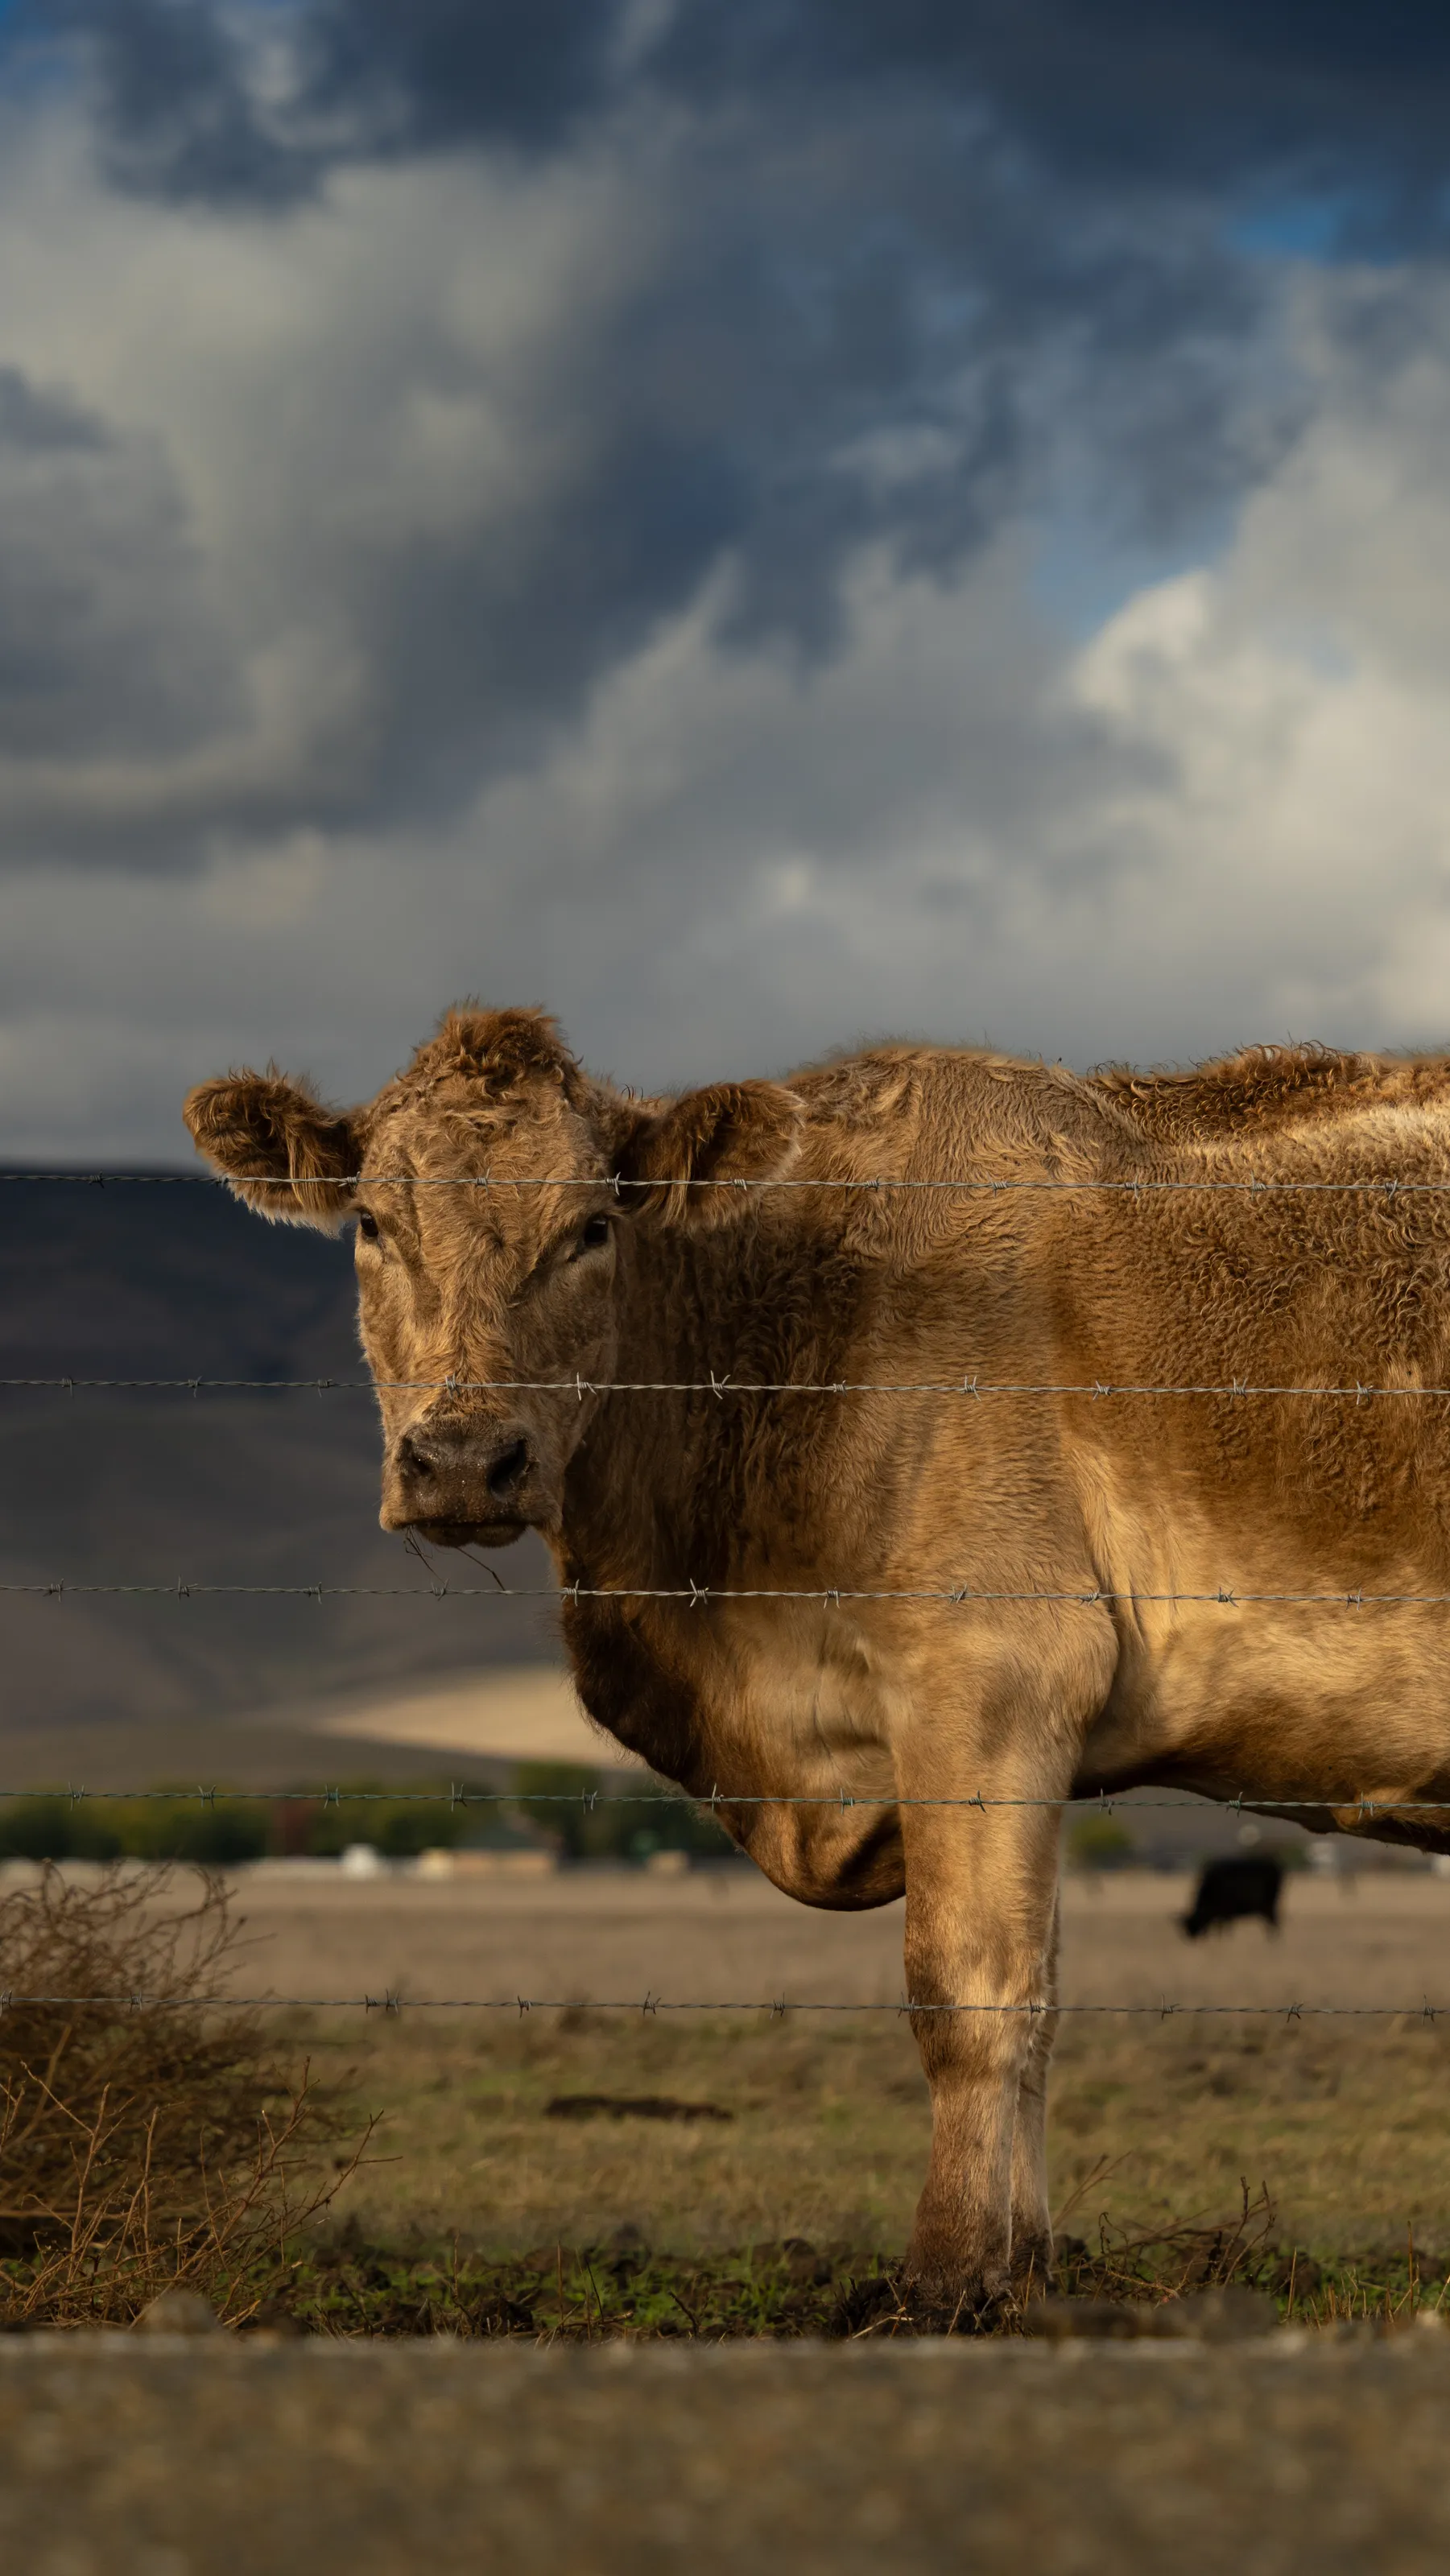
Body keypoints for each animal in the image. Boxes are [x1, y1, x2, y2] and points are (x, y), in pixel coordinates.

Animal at [183, 1013, 1450, 2311]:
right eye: (373, 1225)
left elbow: (970, 1991)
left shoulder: (988, 1679)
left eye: (592, 1226)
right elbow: (1038, 1996)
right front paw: (1025, 2267)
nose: (463, 1461)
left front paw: (945, 2279)